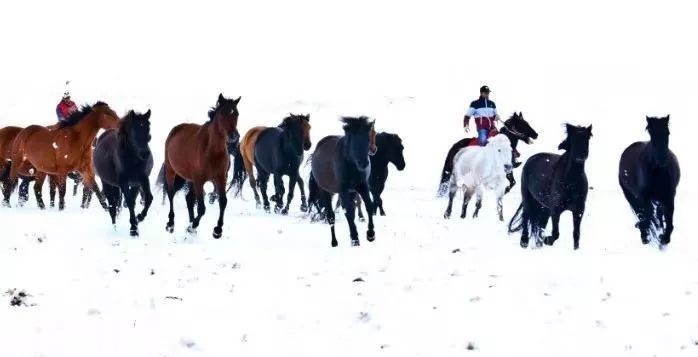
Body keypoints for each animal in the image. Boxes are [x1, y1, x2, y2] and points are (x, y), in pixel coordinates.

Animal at [162, 93, 239, 238]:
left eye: (236, 113)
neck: (212, 152)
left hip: (191, 180)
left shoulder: (220, 179)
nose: (234, 136)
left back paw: (191, 224)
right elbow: (202, 208)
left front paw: (217, 230)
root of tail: (176, 129)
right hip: (171, 171)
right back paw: (171, 224)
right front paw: (193, 227)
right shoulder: (199, 180)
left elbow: (223, 202)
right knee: (171, 194)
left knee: (189, 199)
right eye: (222, 113)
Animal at [308, 116, 378, 245]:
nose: (364, 163)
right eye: (353, 139)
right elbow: (349, 213)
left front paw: (370, 234)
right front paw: (355, 239)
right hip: (326, 192)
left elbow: (369, 206)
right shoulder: (343, 190)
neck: (351, 164)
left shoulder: (362, 186)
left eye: (368, 138)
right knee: (331, 216)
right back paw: (334, 242)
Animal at [616, 116, 676, 245]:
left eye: (668, 133)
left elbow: (668, 219)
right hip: (630, 195)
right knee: (641, 213)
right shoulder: (644, 198)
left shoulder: (669, 197)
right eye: (651, 133)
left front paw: (664, 238)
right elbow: (646, 217)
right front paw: (646, 237)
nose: (662, 159)